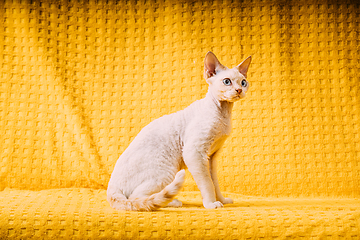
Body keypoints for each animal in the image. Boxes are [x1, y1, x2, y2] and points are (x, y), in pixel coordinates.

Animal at [108, 51, 252, 211]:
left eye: (243, 82)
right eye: (227, 81)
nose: (239, 90)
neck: (224, 114)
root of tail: (111, 187)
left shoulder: (212, 156)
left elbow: (215, 182)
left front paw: (221, 200)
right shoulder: (194, 153)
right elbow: (207, 183)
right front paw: (210, 204)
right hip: (167, 171)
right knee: (136, 198)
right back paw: (172, 202)